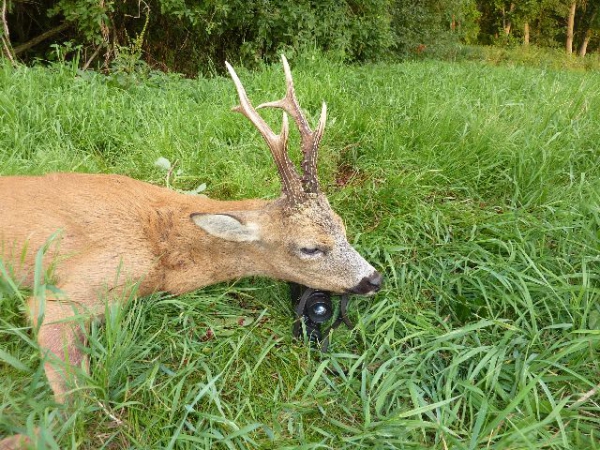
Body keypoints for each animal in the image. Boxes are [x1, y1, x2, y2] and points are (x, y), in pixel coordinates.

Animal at [0, 56, 382, 450]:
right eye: (309, 247)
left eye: (343, 226)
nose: (374, 279)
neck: (162, 239)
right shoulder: (73, 291)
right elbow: (77, 403)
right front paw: (17, 437)